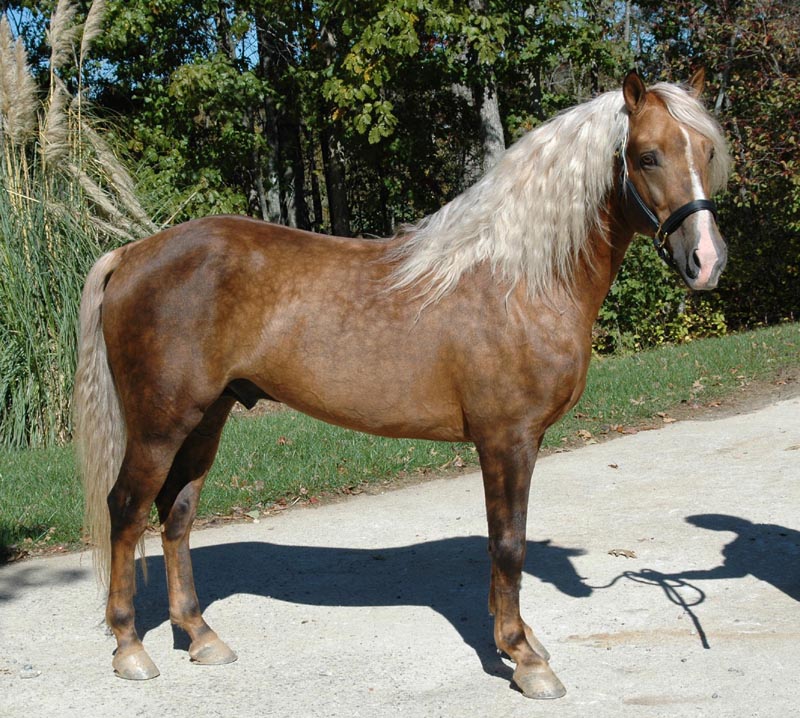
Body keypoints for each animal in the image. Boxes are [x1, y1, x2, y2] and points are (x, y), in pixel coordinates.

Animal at [73, 70, 731, 699]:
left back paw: (201, 635)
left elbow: (507, 542)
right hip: (160, 425)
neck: (519, 281)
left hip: (207, 417)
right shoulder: (506, 439)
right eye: (648, 155)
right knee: (126, 510)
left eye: (705, 149)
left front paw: (520, 639)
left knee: (177, 515)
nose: (707, 260)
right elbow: (508, 544)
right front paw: (523, 658)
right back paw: (130, 648)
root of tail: (133, 253)